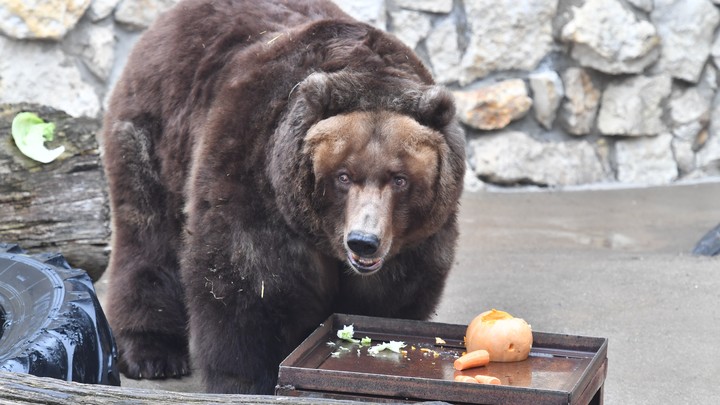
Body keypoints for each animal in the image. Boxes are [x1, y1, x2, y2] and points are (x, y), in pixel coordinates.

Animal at [102, 0, 466, 392]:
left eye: (399, 179)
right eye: (343, 176)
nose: (363, 242)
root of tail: (169, 19)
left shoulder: (414, 239)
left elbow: (393, 296)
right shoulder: (257, 176)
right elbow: (248, 283)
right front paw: (244, 379)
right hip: (156, 134)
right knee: (148, 235)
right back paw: (153, 352)